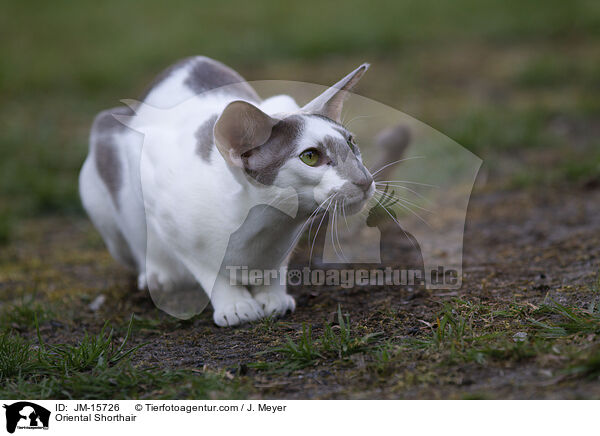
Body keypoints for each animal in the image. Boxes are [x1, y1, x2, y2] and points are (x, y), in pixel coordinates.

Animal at [77, 55, 372, 328]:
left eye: (351, 143)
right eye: (310, 157)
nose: (365, 180)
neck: (264, 225)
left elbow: (276, 267)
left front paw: (272, 297)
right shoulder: (156, 190)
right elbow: (208, 269)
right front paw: (235, 305)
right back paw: (158, 277)